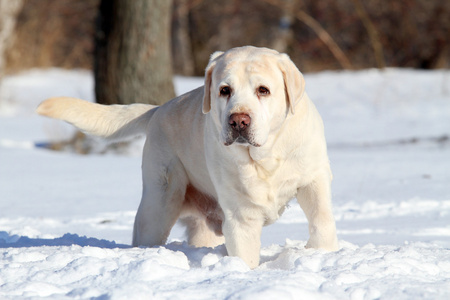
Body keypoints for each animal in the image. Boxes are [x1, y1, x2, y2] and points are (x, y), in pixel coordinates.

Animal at [37, 46, 338, 268]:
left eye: (263, 90)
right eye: (224, 90)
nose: (238, 121)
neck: (263, 157)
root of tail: (157, 110)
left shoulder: (313, 179)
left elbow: (321, 219)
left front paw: (321, 251)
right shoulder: (241, 215)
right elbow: (245, 254)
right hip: (159, 202)